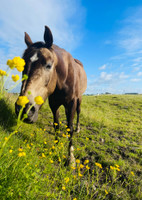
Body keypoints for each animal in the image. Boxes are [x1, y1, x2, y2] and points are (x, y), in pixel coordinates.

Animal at [15, 25, 87, 165]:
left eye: (48, 65)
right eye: (23, 65)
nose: (24, 109)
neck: (64, 78)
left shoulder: (71, 103)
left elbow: (69, 127)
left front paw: (71, 158)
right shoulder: (54, 104)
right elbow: (56, 125)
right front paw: (55, 147)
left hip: (79, 99)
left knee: (79, 112)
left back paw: (78, 128)